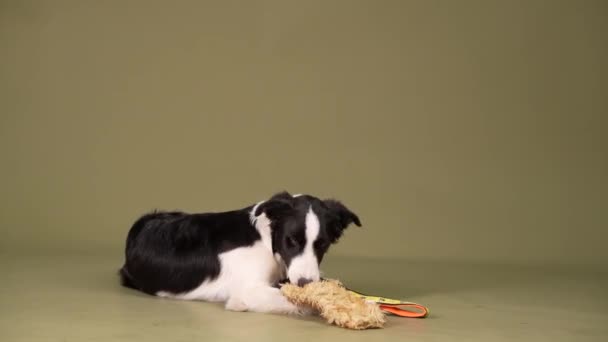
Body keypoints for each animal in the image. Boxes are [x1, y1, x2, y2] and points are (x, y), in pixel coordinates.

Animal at [121, 191, 364, 314]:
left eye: (322, 244)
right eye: (291, 241)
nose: (305, 283)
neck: (267, 240)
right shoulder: (247, 292)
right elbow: (301, 301)